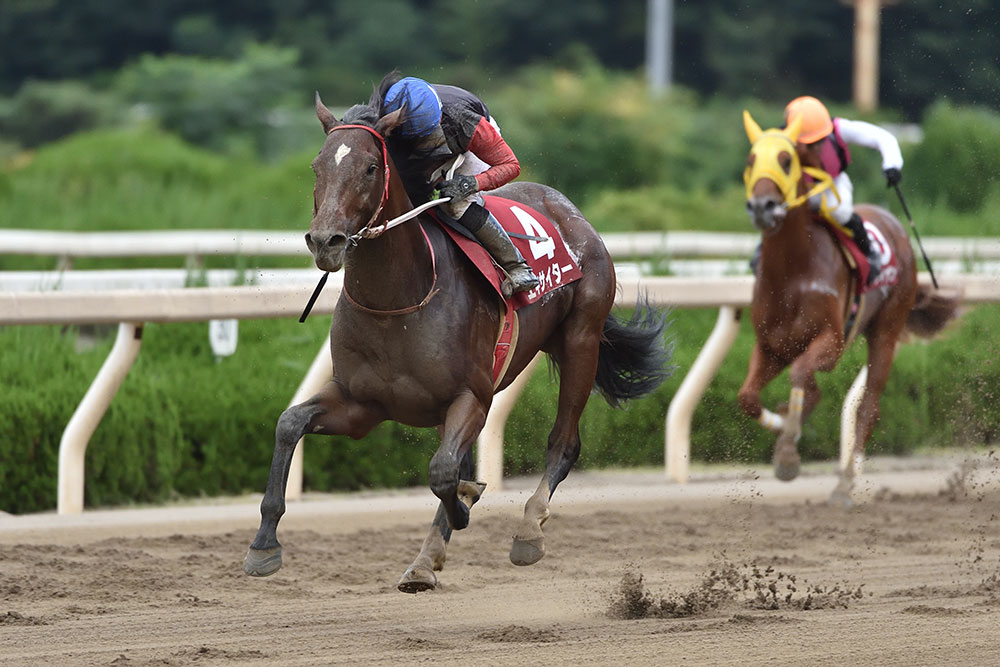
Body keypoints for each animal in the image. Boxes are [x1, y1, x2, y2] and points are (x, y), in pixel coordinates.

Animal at [243, 87, 673, 592]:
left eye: (370, 167)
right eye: (317, 166)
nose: (326, 240)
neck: (399, 300)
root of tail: (566, 207)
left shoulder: (471, 395)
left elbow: (444, 472)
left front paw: (465, 507)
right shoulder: (361, 404)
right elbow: (289, 423)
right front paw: (263, 545)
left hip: (581, 340)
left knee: (562, 443)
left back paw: (527, 531)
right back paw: (426, 559)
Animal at [738, 110, 958, 505]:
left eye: (786, 160)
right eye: (751, 159)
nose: (762, 207)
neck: (793, 270)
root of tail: (895, 224)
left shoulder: (832, 341)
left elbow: (802, 377)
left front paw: (788, 450)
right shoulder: (771, 346)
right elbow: (749, 397)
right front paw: (785, 425)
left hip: (886, 331)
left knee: (868, 408)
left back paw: (844, 485)